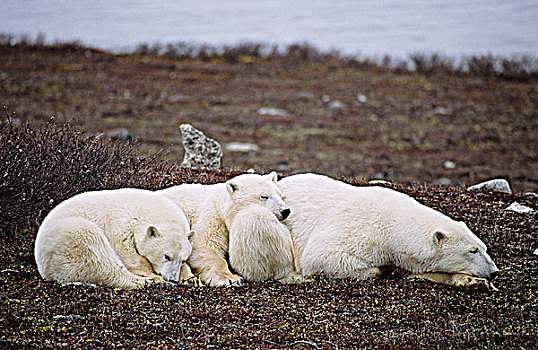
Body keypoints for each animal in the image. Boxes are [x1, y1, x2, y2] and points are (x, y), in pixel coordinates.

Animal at [34, 189, 196, 290]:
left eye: (183, 259)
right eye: (166, 256)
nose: (172, 279)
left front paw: (190, 278)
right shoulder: (119, 225)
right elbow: (126, 253)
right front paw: (151, 274)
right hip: (70, 239)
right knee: (100, 259)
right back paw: (150, 280)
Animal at [157, 172, 288, 288]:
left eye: (280, 194)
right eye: (263, 196)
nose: (285, 211)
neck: (221, 204)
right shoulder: (213, 217)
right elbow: (204, 245)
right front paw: (230, 279)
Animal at [276, 174, 498, 292]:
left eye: (484, 248)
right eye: (472, 250)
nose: (494, 272)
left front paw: (476, 282)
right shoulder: (358, 229)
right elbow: (320, 256)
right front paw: (381, 270)